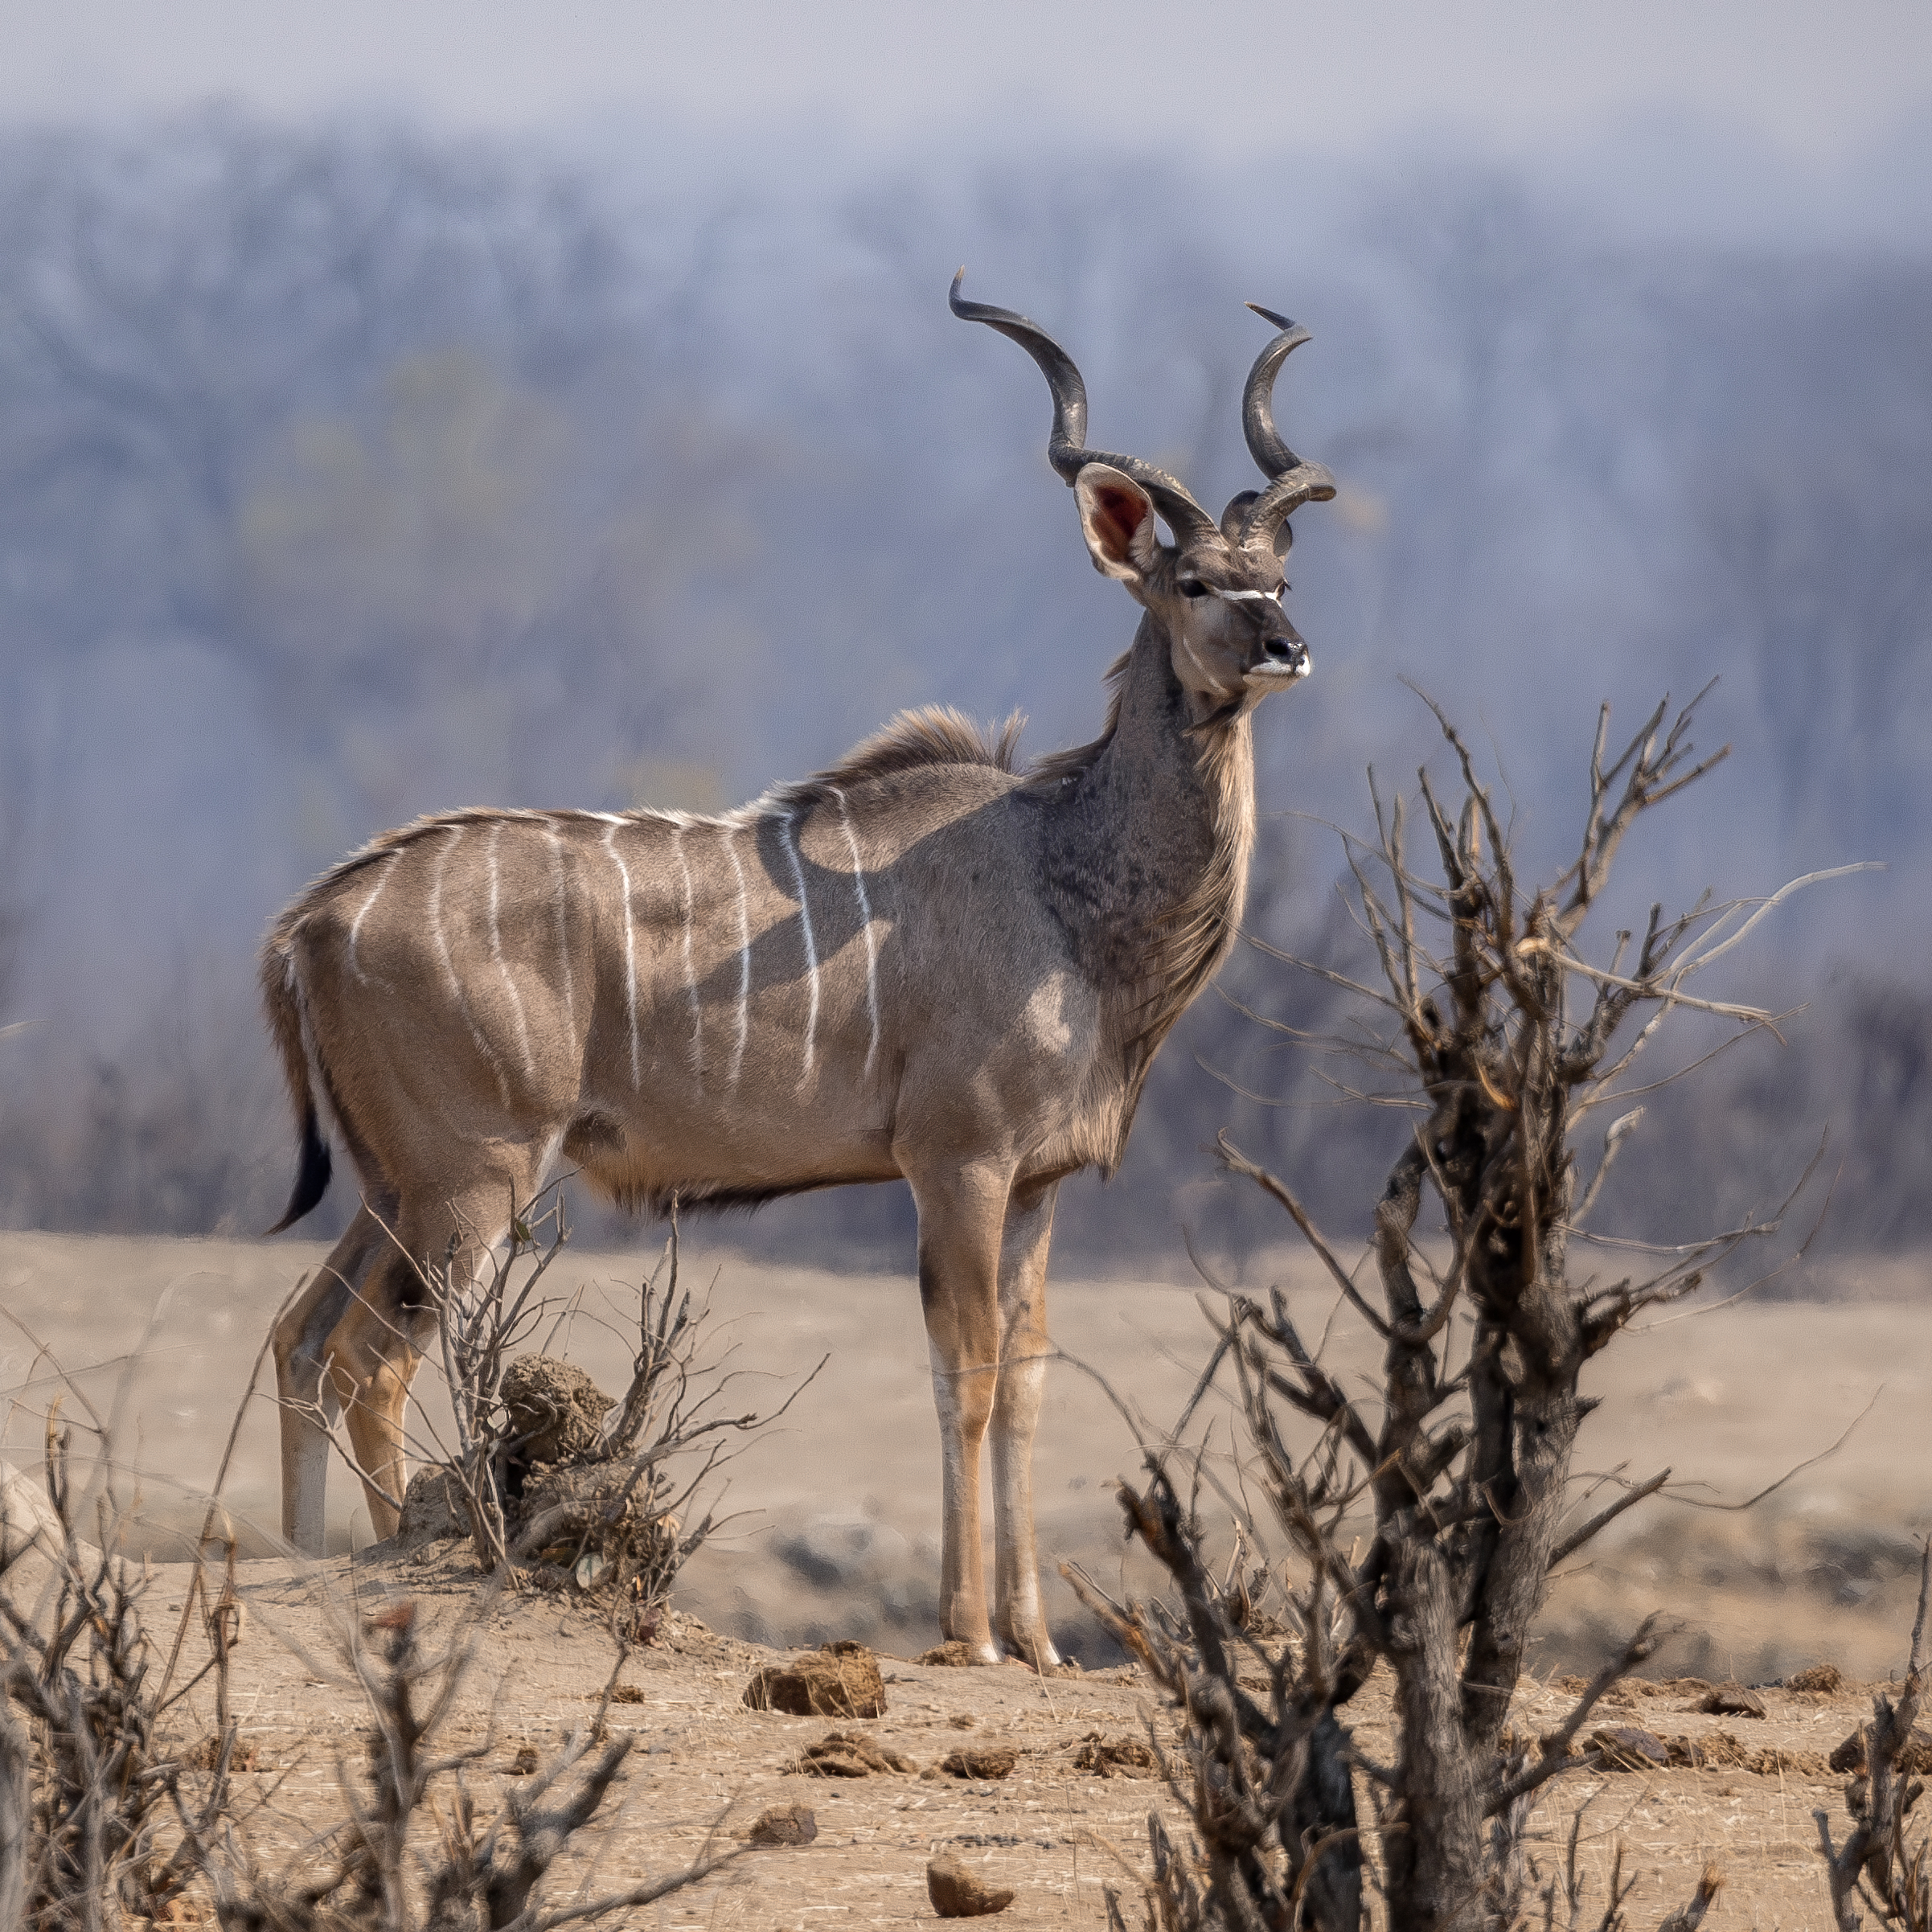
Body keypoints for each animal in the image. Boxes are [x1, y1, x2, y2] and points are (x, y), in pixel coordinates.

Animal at [261, 275, 1333, 1666]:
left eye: (1278, 573)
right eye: (1195, 579)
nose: (1284, 646)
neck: (1063, 879)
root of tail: (310, 919)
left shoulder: (1037, 1183)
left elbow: (1028, 1377)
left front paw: (1039, 1639)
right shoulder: (956, 1161)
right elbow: (964, 1367)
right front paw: (969, 1633)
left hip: (392, 1180)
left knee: (298, 1338)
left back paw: (304, 1554)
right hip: (469, 1178)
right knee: (367, 1360)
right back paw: (406, 1561)